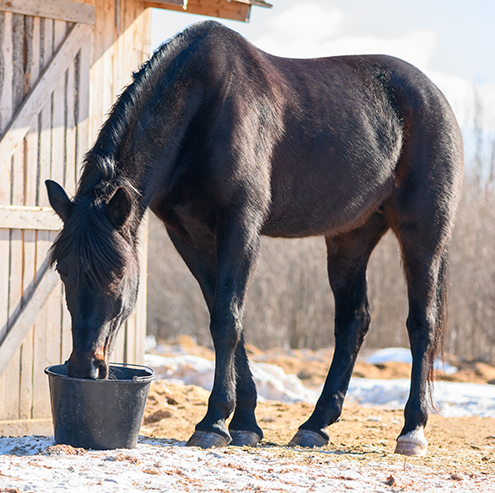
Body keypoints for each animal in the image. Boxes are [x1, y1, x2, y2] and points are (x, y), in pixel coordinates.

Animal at [45, 22, 464, 454]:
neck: (203, 105)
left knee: (422, 323)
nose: (84, 367)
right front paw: (244, 422)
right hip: (351, 236)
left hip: (423, 233)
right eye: (63, 272)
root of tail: (434, 97)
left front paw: (213, 423)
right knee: (353, 320)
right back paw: (315, 425)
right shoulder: (189, 236)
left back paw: (412, 429)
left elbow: (227, 320)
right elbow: (229, 319)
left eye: (116, 274)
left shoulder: (240, 225)